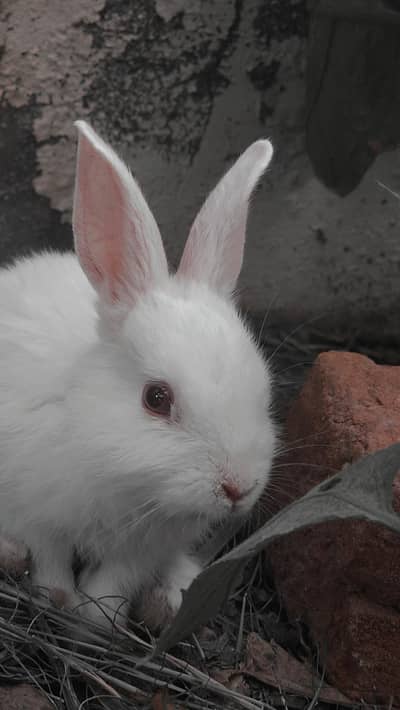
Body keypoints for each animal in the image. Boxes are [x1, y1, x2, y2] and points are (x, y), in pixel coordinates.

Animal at [0, 120, 276, 629]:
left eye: (262, 391)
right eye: (156, 398)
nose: (237, 488)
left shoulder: (143, 548)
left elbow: (113, 585)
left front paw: (94, 621)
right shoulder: (36, 513)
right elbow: (50, 563)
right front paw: (59, 599)